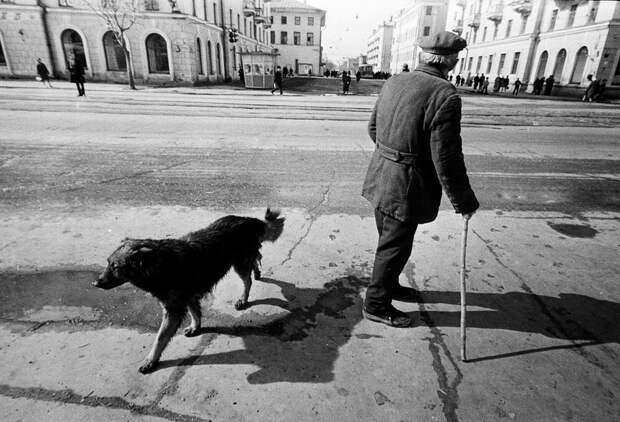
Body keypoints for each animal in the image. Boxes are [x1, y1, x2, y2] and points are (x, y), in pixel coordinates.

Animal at [93, 208, 284, 372]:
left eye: (115, 267)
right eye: (108, 262)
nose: (94, 283)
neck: (159, 264)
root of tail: (247, 219)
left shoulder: (173, 310)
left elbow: (160, 338)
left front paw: (151, 360)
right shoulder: (188, 297)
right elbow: (195, 313)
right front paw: (195, 327)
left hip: (239, 264)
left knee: (247, 280)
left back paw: (243, 298)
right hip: (242, 261)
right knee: (255, 260)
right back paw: (257, 272)